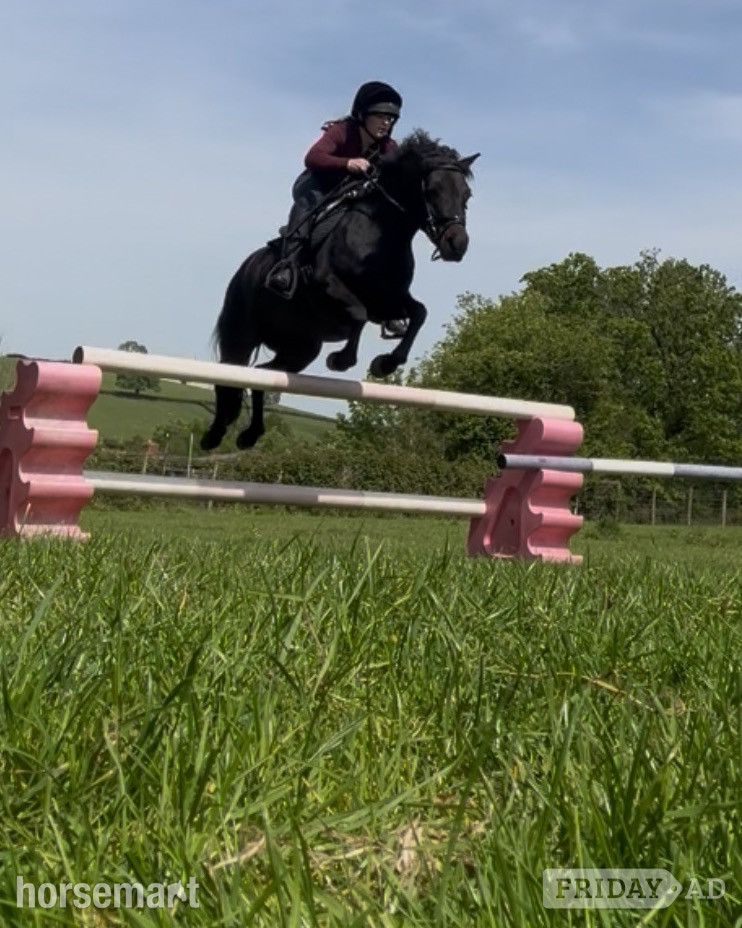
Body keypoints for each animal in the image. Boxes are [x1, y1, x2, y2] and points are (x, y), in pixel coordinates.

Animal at [201, 130, 479, 451]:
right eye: (432, 191)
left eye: (466, 195)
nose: (457, 245)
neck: (381, 236)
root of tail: (246, 266)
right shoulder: (329, 287)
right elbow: (358, 313)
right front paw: (342, 360)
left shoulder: (390, 302)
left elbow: (419, 313)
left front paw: (386, 364)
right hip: (241, 334)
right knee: (227, 375)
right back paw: (214, 434)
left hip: (301, 348)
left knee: (262, 374)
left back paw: (251, 434)